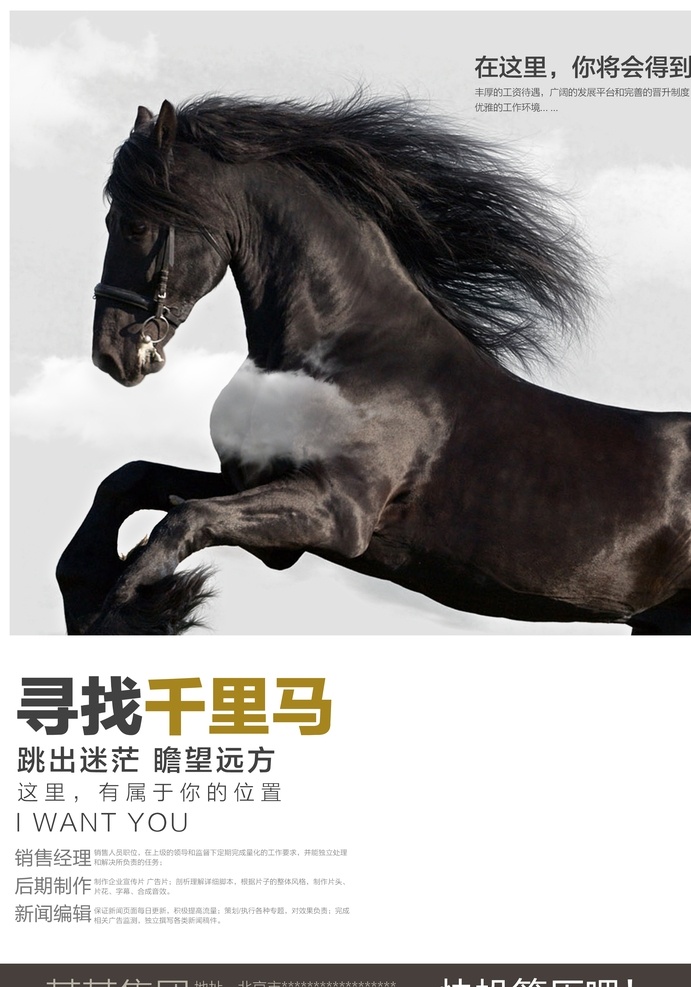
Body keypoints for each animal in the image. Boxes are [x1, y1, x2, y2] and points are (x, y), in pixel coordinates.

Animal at [56, 94, 691, 635]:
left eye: (136, 224)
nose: (111, 353)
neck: (353, 355)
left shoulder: (336, 514)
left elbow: (179, 522)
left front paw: (131, 609)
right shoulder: (256, 497)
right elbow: (131, 480)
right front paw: (85, 587)